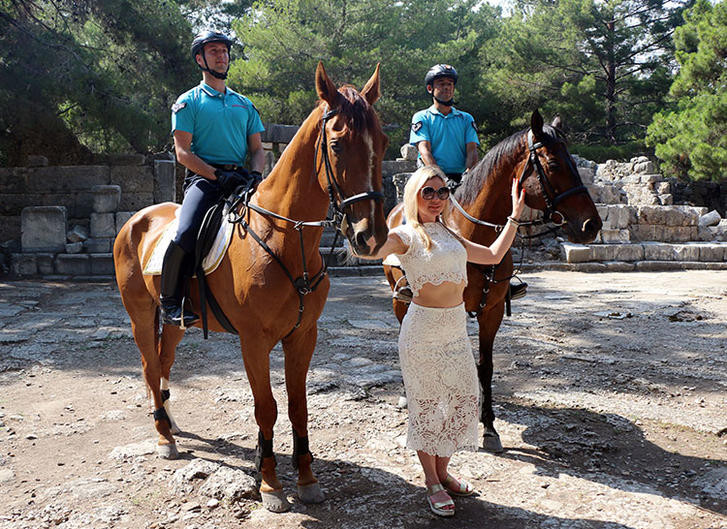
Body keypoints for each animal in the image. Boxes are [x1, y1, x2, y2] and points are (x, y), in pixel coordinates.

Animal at [113, 63, 390, 512]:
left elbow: (298, 407)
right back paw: (163, 437)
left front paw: (306, 479)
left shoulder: (303, 335)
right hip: (140, 314)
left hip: (175, 321)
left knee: (164, 361)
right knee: (150, 366)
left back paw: (170, 420)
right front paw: (271, 483)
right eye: (337, 144)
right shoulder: (254, 341)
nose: (371, 236)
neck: (284, 237)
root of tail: (138, 218)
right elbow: (267, 408)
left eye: (381, 142)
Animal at [386, 110, 604, 450]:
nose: (592, 224)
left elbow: (485, 366)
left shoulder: (493, 310)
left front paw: (487, 425)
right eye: (554, 164)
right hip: (401, 301)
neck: (475, 234)